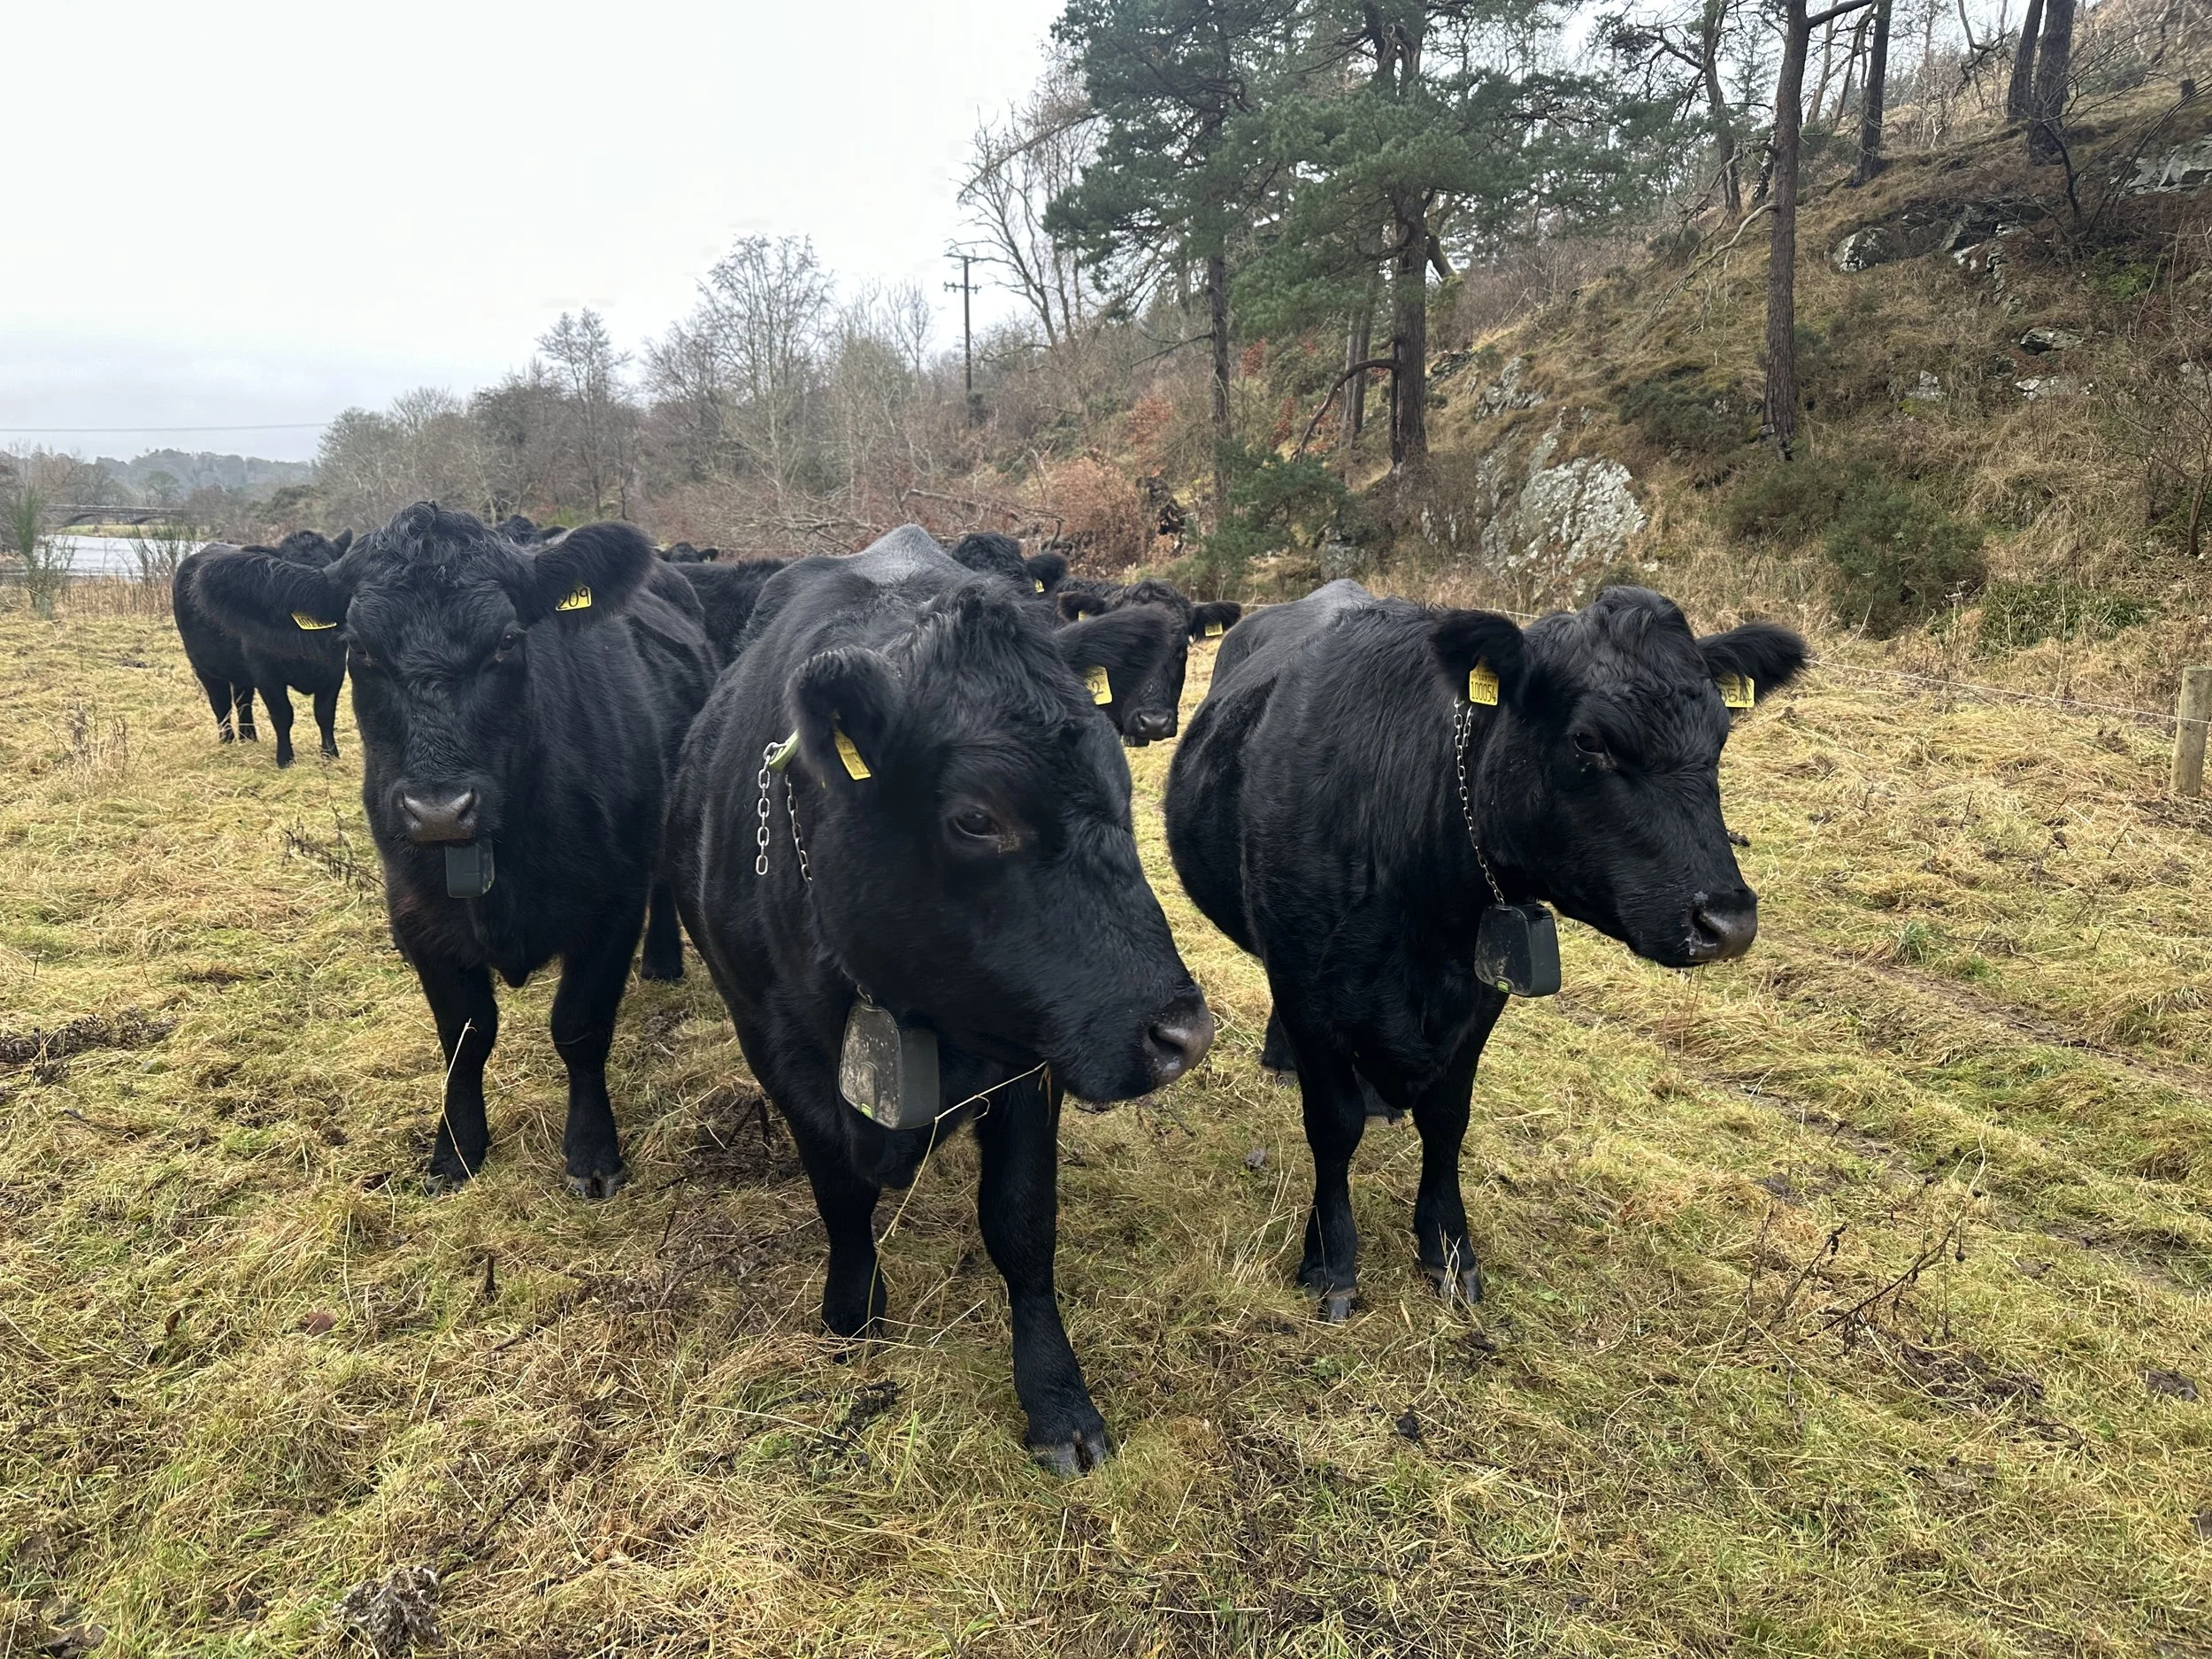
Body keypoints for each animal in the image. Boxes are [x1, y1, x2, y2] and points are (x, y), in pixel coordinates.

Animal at [173, 528, 353, 766]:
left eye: (328, 569)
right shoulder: (266, 674)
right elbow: (282, 714)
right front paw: (285, 759)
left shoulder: (335, 670)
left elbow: (324, 714)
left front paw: (330, 755)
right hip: (203, 666)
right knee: (220, 703)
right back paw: (227, 740)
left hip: (240, 671)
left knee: (243, 701)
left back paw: (249, 737)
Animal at [192, 505, 716, 1197]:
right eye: (359, 646)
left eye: (508, 639)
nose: (439, 810)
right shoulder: (416, 916)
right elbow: (464, 1036)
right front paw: (456, 1150)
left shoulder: (612, 904)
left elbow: (579, 1027)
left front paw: (592, 1151)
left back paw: (660, 962)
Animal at [668, 525, 1214, 1471]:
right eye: (975, 818)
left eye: (1122, 781)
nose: (1182, 1031)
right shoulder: (774, 1047)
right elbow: (839, 1195)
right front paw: (852, 1313)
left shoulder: (1031, 1059)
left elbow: (1021, 1220)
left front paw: (1057, 1400)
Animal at [1164, 580, 1806, 1320]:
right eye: (1589, 740)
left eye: (1721, 738)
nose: (1728, 921)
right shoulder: (1305, 979)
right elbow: (1333, 1124)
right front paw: (1331, 1256)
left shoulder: (1480, 992)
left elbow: (1448, 1119)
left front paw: (1448, 1249)